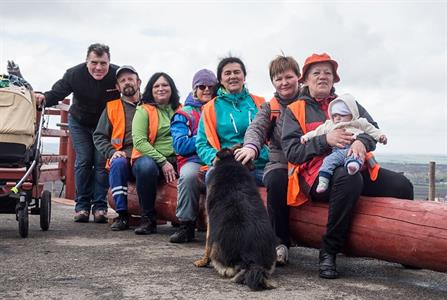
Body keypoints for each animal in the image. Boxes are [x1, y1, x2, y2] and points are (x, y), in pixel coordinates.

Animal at [195, 148, 278, 290]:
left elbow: (207, 245)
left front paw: (203, 261)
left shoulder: (210, 224)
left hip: (217, 248)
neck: (232, 164)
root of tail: (252, 259)